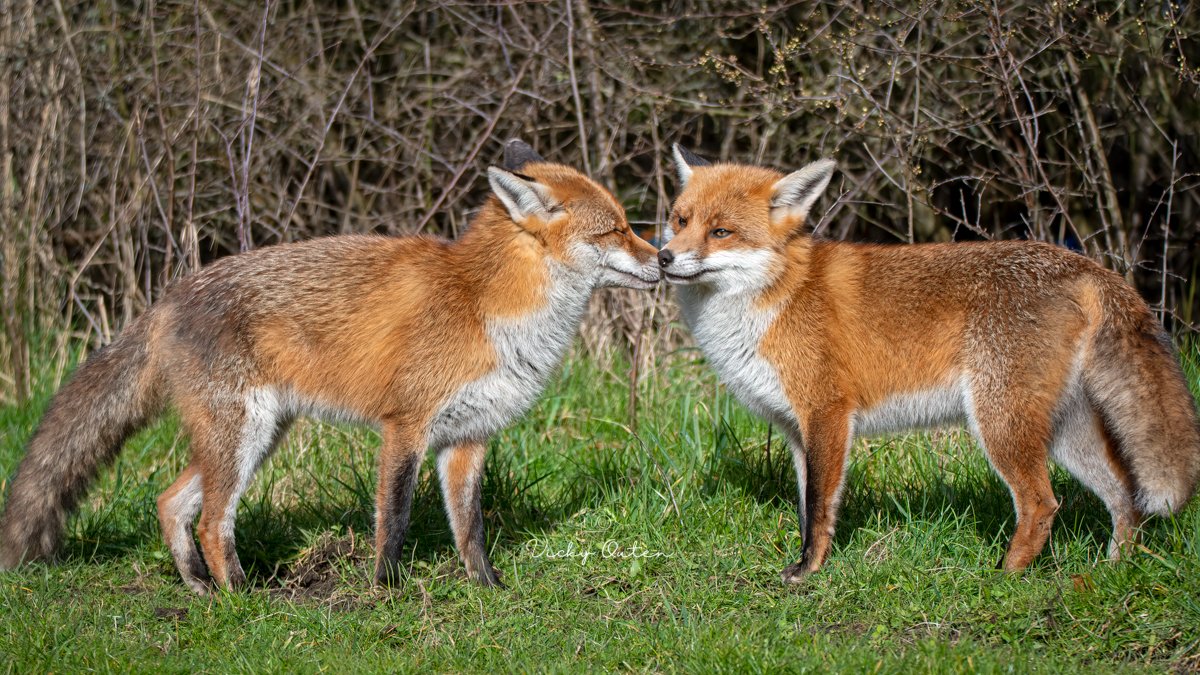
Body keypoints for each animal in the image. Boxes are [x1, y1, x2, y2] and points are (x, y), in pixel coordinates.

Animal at [0, 139, 667, 590]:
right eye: (616, 230)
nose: (663, 259)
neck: (486, 306)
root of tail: (167, 298)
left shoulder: (469, 437)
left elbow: (470, 529)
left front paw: (487, 589)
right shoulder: (406, 427)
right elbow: (394, 519)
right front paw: (385, 590)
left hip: (258, 436)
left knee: (171, 503)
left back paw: (200, 590)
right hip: (242, 435)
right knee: (214, 522)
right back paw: (244, 598)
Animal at [657, 144, 1200, 581]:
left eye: (721, 231)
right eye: (681, 220)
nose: (664, 258)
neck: (775, 296)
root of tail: (1082, 263)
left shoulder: (828, 414)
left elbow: (819, 509)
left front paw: (809, 571)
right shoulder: (796, 429)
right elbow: (807, 506)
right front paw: (809, 562)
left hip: (999, 423)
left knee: (1042, 504)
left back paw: (1005, 576)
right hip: (1063, 430)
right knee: (1124, 496)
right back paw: (1112, 571)